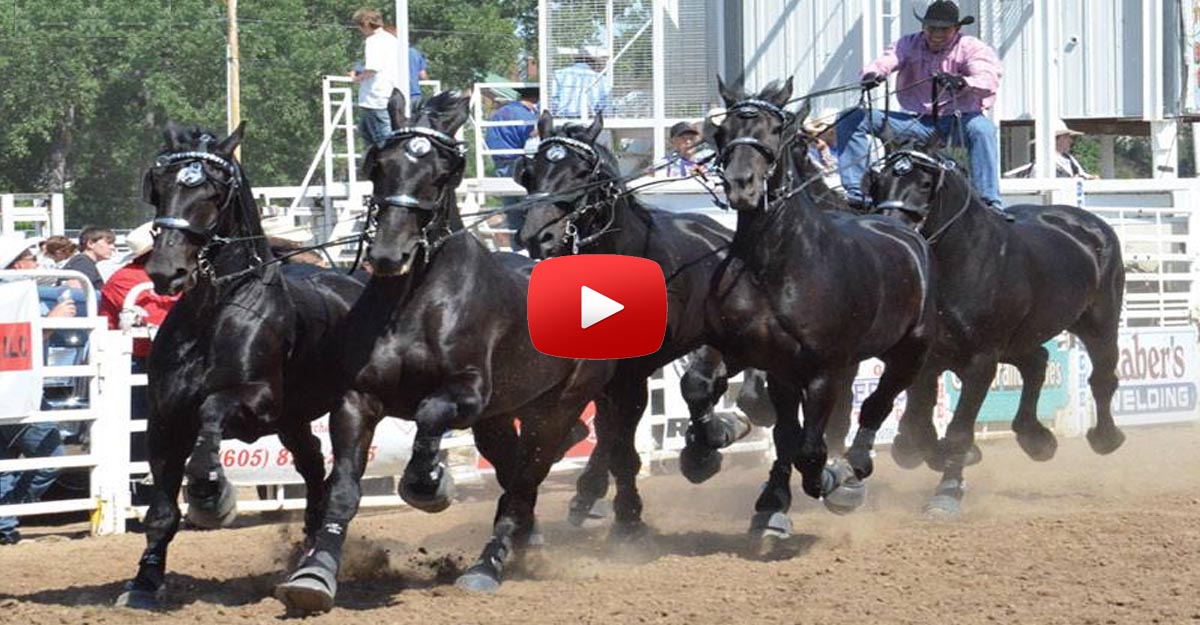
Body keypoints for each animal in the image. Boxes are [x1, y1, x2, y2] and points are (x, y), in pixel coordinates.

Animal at [122, 124, 367, 607]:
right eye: (159, 186)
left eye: (213, 193)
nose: (166, 270)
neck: (214, 311)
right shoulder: (163, 420)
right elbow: (160, 510)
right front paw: (145, 581)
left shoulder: (257, 402)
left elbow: (211, 415)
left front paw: (211, 496)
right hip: (294, 420)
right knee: (313, 464)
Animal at [274, 93, 619, 614]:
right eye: (379, 165)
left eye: (441, 173)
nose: (389, 255)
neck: (417, 297)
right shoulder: (357, 400)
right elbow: (343, 491)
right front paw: (315, 572)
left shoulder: (467, 395)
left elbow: (429, 417)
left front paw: (432, 483)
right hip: (501, 418)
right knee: (514, 472)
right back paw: (524, 541)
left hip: (557, 407)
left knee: (524, 481)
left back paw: (488, 565)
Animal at [518, 112, 777, 535]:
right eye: (529, 172)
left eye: (582, 173)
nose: (538, 236)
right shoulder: (605, 373)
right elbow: (610, 436)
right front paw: (603, 498)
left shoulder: (634, 373)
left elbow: (623, 441)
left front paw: (629, 516)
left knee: (706, 386)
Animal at [705, 77, 940, 532]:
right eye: (721, 131)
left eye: (775, 130)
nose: (741, 185)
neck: (776, 264)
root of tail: (903, 230)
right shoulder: (761, 358)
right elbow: (770, 425)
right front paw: (767, 496)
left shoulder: (823, 371)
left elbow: (810, 449)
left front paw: (832, 479)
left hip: (909, 352)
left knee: (876, 404)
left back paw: (853, 470)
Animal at [864, 148, 1123, 513]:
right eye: (880, 180)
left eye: (925, 184)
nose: (892, 228)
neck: (963, 260)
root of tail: (1089, 224)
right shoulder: (926, 359)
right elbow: (917, 426)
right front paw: (934, 454)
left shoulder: (981, 360)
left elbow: (958, 430)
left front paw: (948, 491)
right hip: (1020, 340)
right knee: (1037, 362)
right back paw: (1036, 437)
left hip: (1099, 323)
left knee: (1101, 378)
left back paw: (1105, 437)